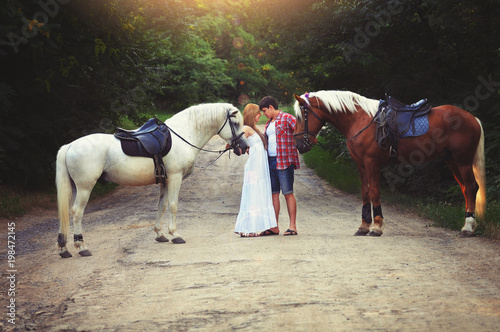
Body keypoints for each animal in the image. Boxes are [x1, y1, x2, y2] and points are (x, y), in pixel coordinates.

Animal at [56, 102, 248, 258]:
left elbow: (161, 206)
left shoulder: (165, 181)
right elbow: (173, 206)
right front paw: (175, 235)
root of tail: (69, 146)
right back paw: (82, 247)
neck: (183, 134)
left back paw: (64, 249)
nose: (244, 147)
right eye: (235, 123)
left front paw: (160, 234)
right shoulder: (175, 178)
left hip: (75, 188)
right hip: (84, 188)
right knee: (77, 213)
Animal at [292, 89, 484, 237]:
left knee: (471, 187)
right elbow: (365, 193)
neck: (359, 119)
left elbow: (375, 192)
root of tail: (473, 118)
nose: (299, 145)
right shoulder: (361, 165)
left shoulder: (372, 163)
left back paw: (468, 228)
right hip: (452, 161)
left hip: (463, 160)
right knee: (466, 189)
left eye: (301, 117)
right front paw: (363, 227)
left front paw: (376, 227)